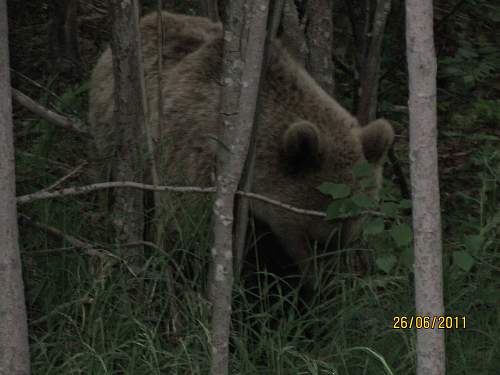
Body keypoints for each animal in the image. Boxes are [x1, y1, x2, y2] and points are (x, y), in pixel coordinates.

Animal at [90, 12, 394, 288]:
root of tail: (150, 17)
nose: (325, 286)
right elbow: (182, 239)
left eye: (348, 239)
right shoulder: (190, 166)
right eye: (315, 240)